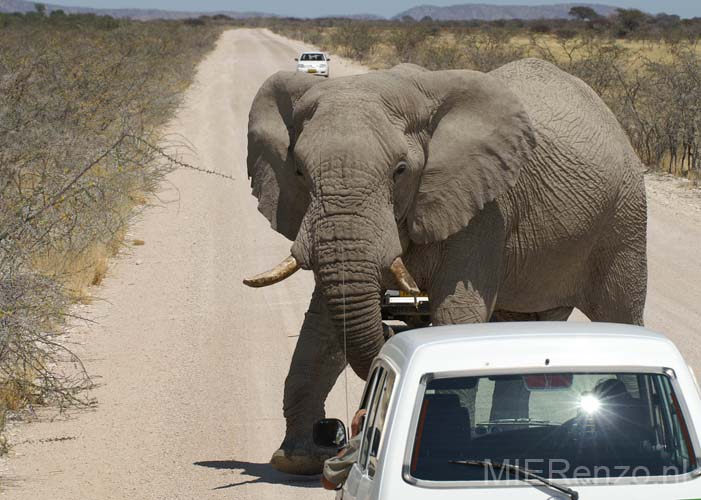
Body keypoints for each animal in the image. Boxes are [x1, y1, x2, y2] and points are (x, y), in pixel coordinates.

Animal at [242, 57, 644, 472]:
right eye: (300, 171)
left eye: (400, 170)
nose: (390, 327)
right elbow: (321, 327)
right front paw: (297, 460)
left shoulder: (485, 209)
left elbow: (456, 317)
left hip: (623, 218)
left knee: (620, 313)